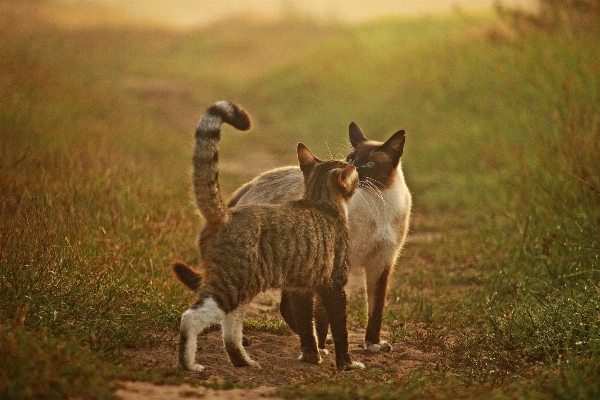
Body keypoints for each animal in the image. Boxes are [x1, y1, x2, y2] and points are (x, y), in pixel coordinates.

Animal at [171, 102, 364, 372]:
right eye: (353, 174)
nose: (357, 168)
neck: (319, 201)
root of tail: (225, 213)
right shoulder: (334, 284)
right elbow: (339, 328)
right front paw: (346, 363)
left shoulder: (300, 286)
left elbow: (306, 325)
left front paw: (311, 356)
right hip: (230, 284)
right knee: (191, 318)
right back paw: (189, 364)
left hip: (241, 289)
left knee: (230, 331)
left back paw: (243, 361)